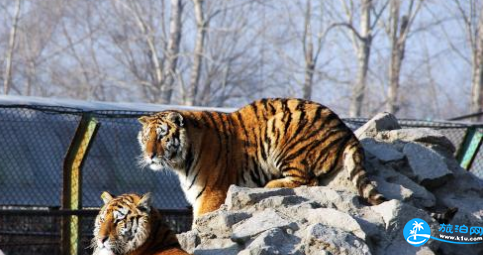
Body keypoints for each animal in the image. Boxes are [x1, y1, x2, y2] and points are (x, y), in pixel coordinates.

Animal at [138, 97, 388, 219]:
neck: (181, 161)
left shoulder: (211, 194)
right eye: (147, 137)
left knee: (307, 180)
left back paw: (271, 184)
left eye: (162, 136)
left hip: (282, 131)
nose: (150, 155)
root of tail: (345, 128)